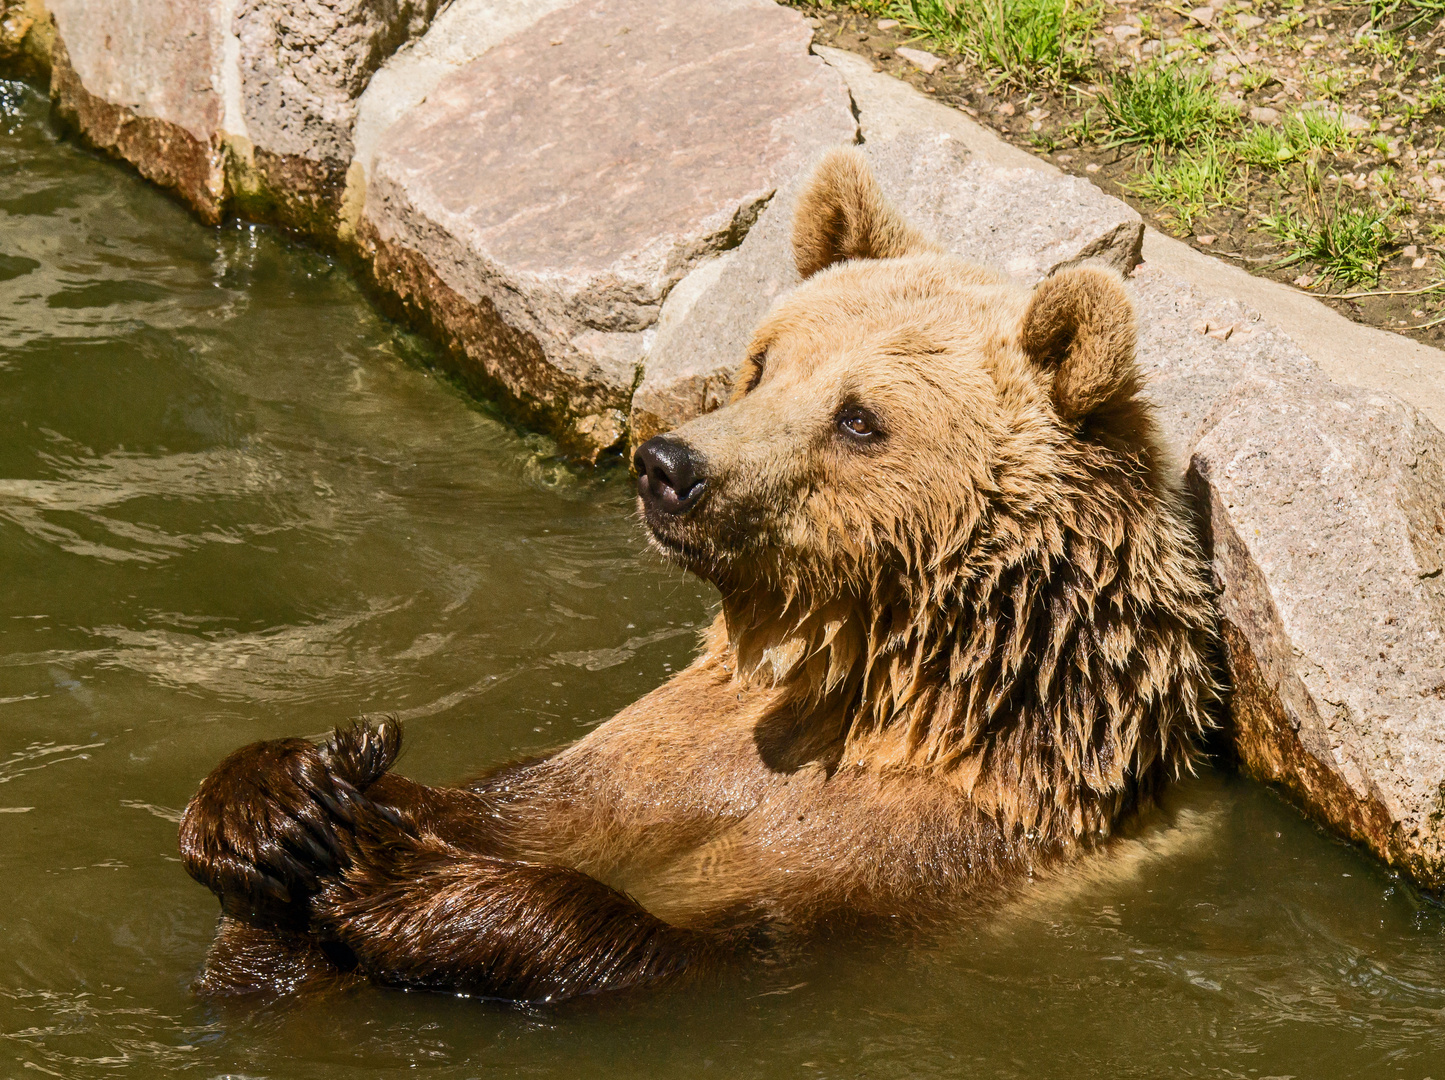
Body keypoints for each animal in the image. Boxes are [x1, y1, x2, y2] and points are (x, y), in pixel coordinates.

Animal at [180, 146, 1219, 1006]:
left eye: (859, 419)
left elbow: (709, 941)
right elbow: (503, 805)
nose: (669, 466)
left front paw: (395, 881)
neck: (876, 688)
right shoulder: (655, 759)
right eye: (762, 363)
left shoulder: (926, 857)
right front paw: (283, 803)